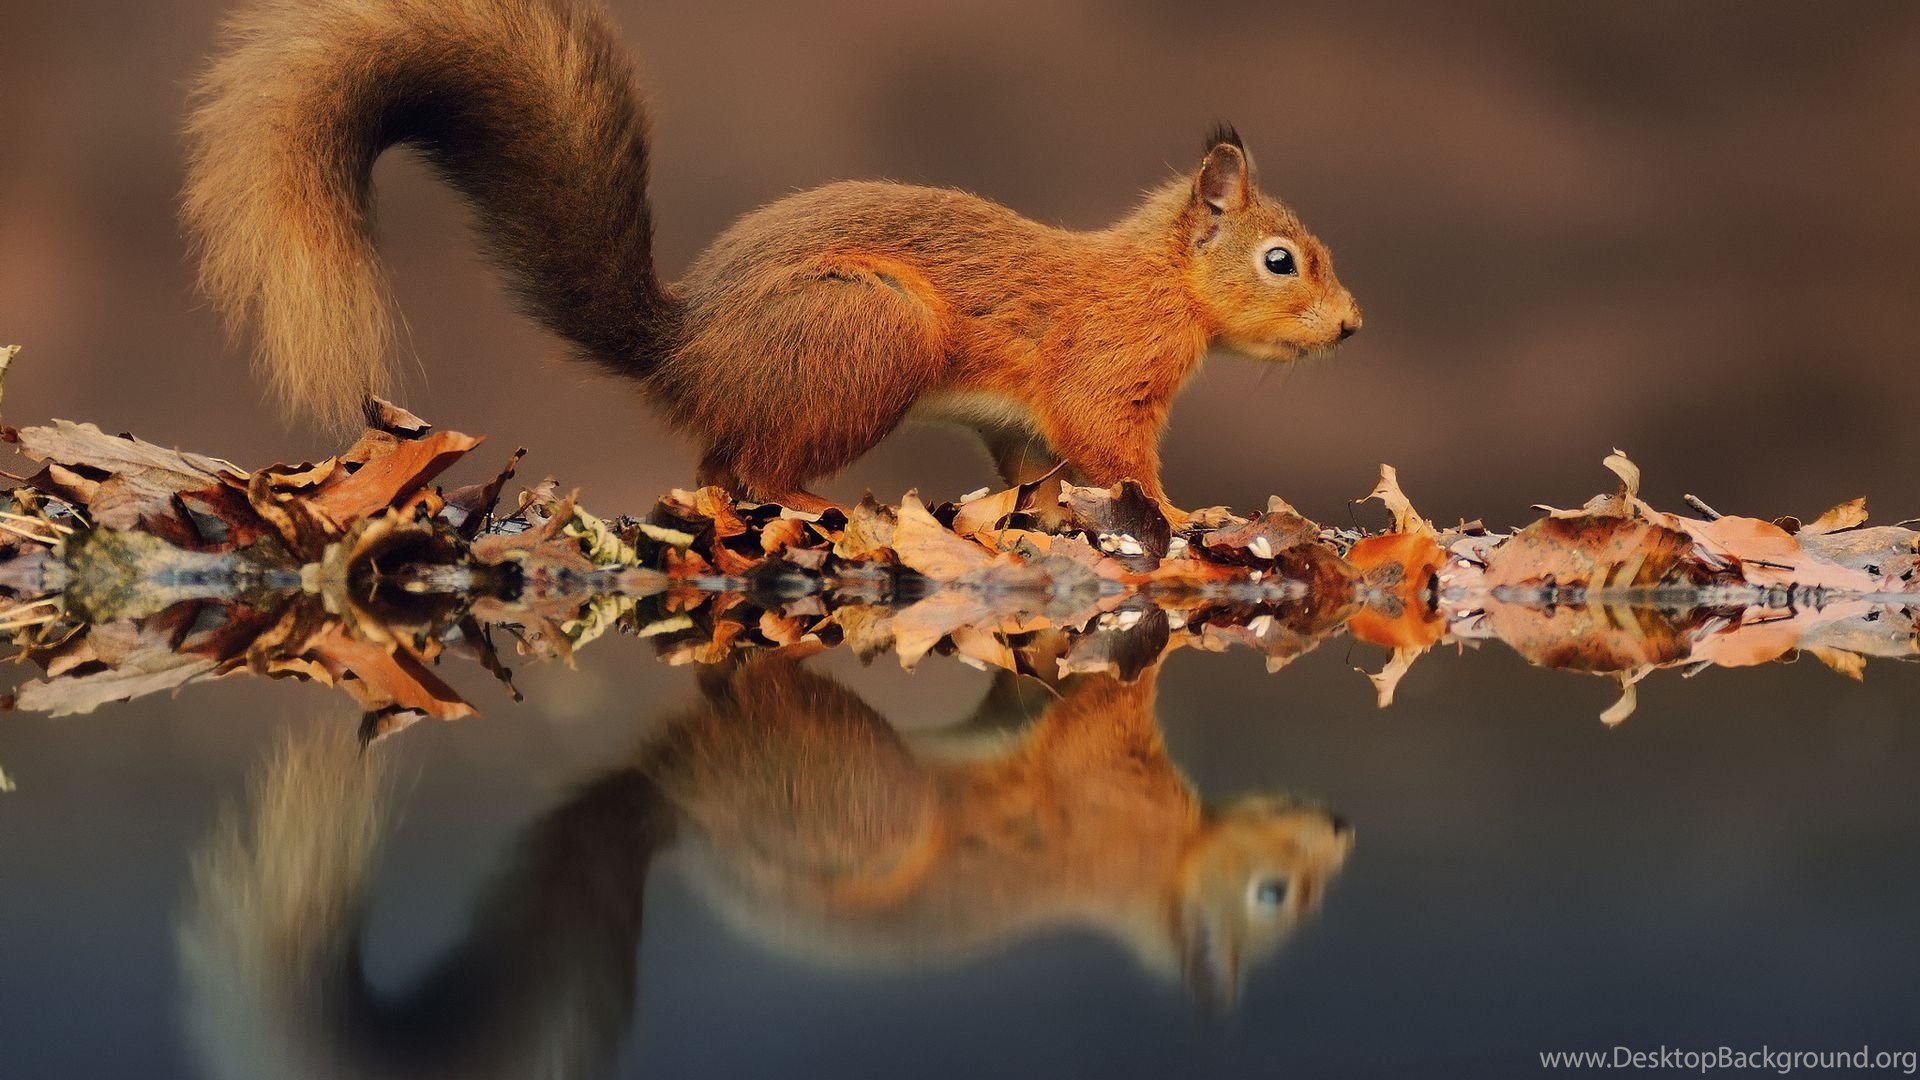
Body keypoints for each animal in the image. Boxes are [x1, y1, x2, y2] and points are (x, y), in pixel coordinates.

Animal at [184, 0, 1361, 513]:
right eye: (1281, 262)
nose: (1352, 327)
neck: (1162, 282)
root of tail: (687, 351)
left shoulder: (1019, 422)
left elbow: (1032, 463)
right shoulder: (1107, 370)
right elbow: (1114, 450)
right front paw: (1185, 517)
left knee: (719, 467)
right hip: (868, 334)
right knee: (756, 468)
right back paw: (812, 509)